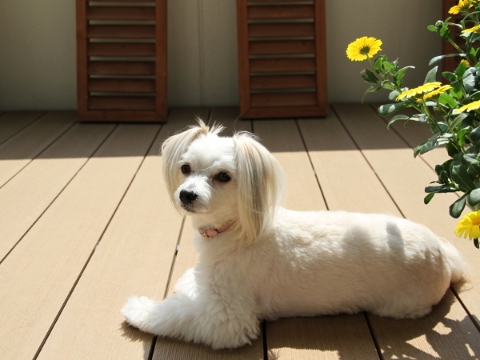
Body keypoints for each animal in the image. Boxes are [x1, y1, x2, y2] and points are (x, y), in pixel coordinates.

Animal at [122, 120, 466, 348]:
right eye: (185, 168)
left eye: (223, 176)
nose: (187, 194)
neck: (236, 230)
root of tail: (443, 255)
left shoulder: (228, 318)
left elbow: (175, 315)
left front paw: (139, 310)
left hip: (402, 303)